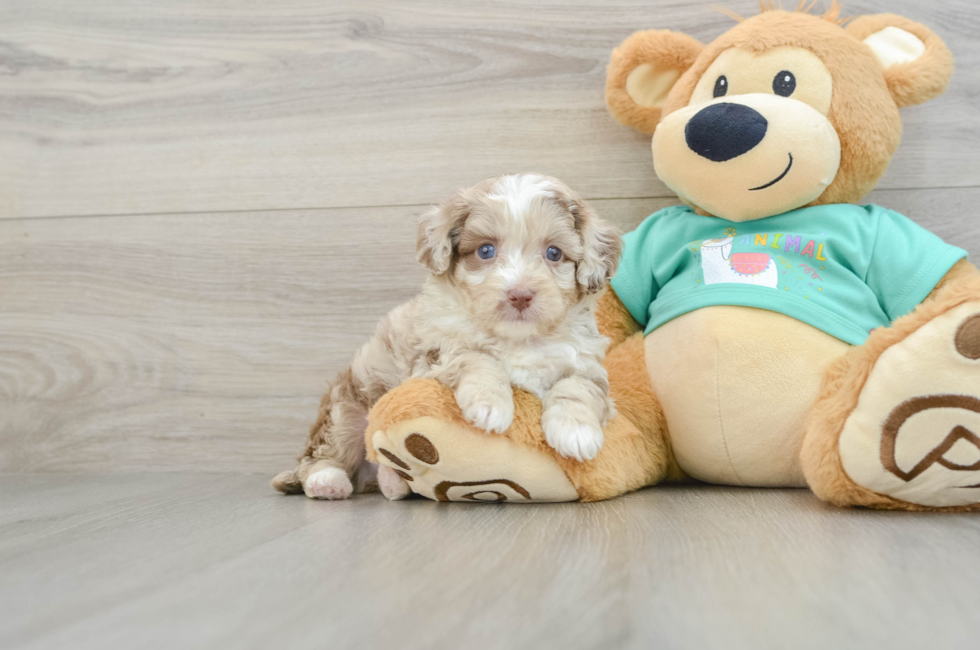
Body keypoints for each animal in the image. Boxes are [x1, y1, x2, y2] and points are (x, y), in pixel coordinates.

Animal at [270, 171, 620, 496]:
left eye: (554, 254)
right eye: (486, 251)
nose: (519, 295)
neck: (517, 338)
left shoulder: (586, 363)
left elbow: (577, 387)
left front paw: (577, 432)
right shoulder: (433, 355)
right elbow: (475, 357)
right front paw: (490, 404)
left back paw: (392, 481)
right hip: (345, 409)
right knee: (324, 453)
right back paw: (327, 481)